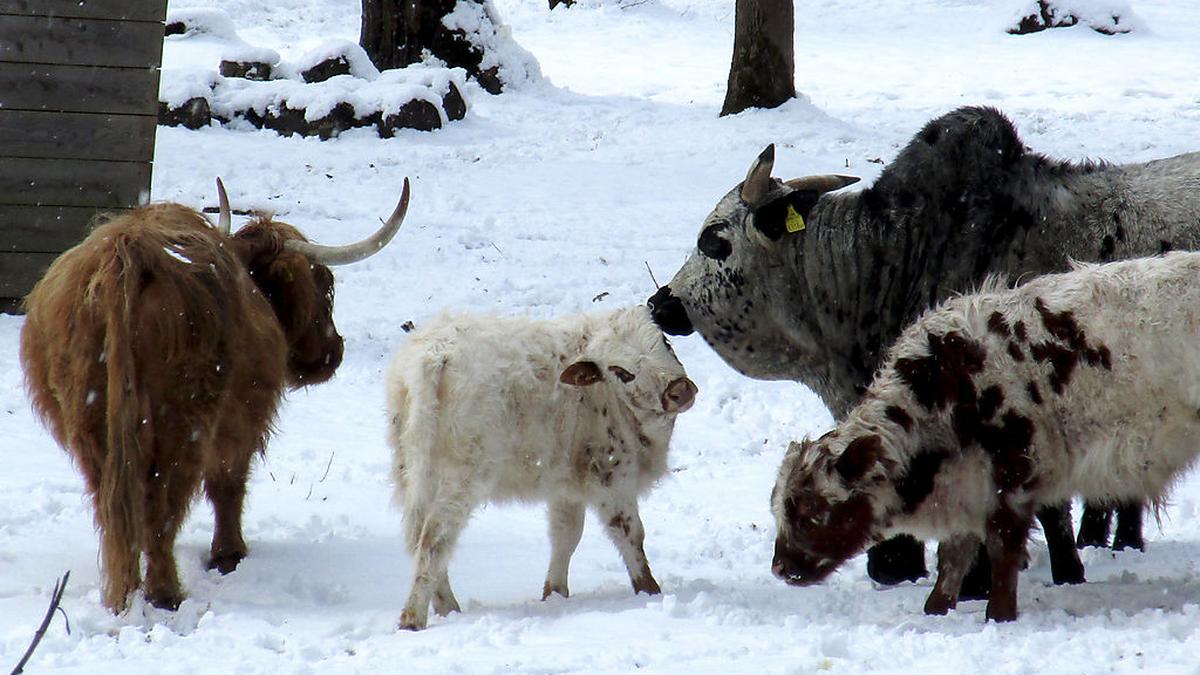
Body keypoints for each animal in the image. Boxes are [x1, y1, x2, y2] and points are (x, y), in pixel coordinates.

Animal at [18, 178, 410, 610]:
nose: (333, 351)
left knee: (115, 509)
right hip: (184, 423)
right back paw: (165, 593)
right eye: (324, 286)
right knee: (162, 508)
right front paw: (229, 554)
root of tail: (128, 255)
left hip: (90, 423)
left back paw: (123, 595)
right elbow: (229, 484)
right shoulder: (245, 419)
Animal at [388, 302, 700, 629]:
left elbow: (566, 534)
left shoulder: (567, 485)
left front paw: (554, 593)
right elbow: (630, 534)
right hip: (461, 480)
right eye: (622, 372)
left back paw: (445, 607)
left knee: (416, 536)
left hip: (413, 473)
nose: (679, 391)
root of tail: (436, 352)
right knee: (434, 540)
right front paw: (650, 592)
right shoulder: (612, 478)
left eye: (665, 341)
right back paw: (415, 617)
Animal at [772, 251, 1200, 619]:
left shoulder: (1013, 476)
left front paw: (999, 614)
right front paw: (937, 608)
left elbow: (1001, 547)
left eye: (808, 511)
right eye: (780, 508)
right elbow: (953, 555)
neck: (948, 385)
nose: (780, 568)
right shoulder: (966, 484)